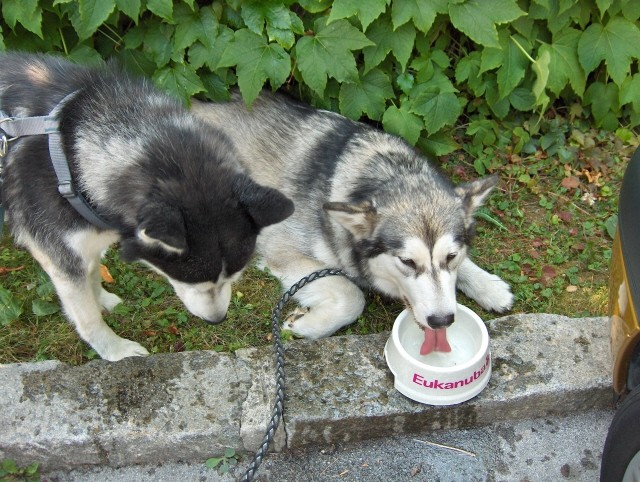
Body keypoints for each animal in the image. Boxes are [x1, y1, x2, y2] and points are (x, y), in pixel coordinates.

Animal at [0, 53, 293, 361]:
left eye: (233, 277)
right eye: (192, 280)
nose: (217, 320)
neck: (71, 154)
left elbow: (92, 275)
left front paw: (102, 299)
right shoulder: (60, 255)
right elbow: (87, 316)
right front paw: (115, 350)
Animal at [191, 91, 513, 347]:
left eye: (451, 256)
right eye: (407, 262)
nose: (442, 320)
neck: (389, 173)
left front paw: (489, 286)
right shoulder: (283, 250)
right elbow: (352, 295)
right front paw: (307, 325)